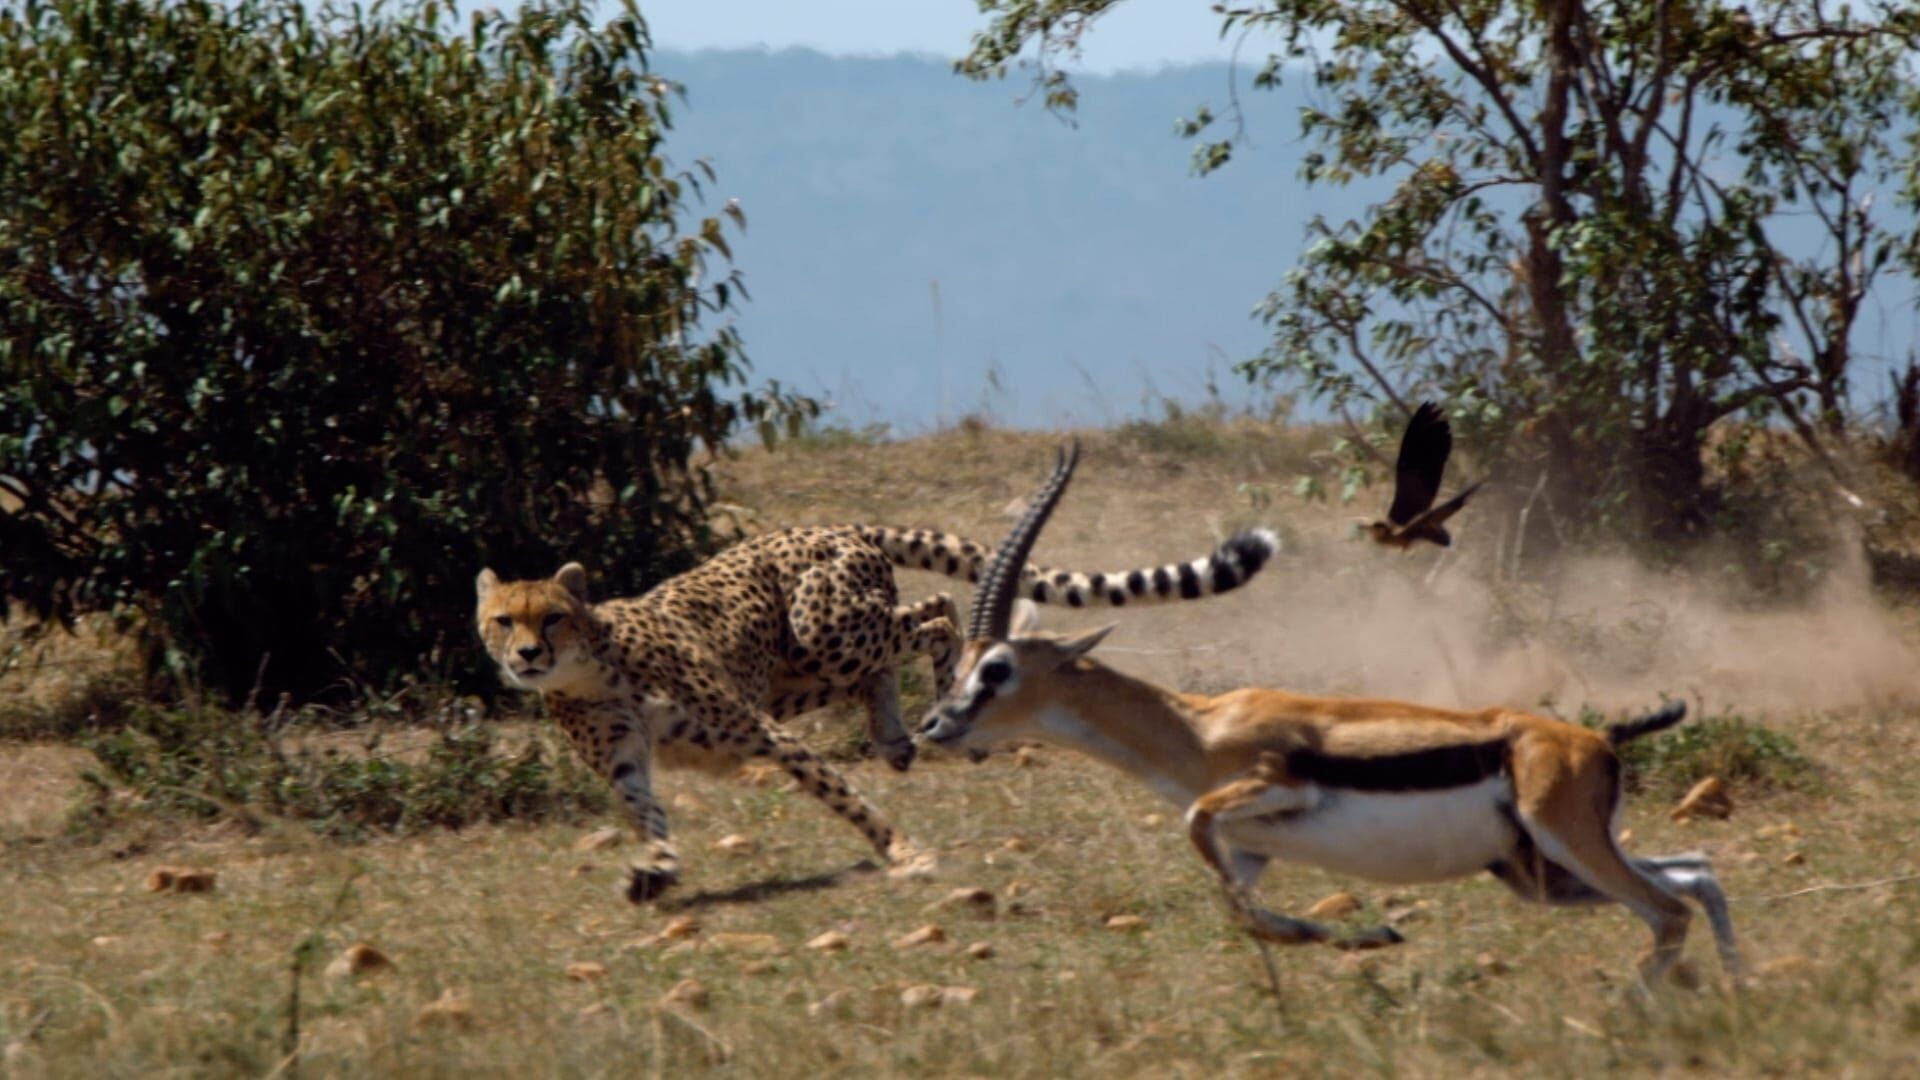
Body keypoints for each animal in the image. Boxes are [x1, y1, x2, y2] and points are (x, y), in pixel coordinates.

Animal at [478, 522, 1274, 899]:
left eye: (551, 618)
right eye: (501, 621)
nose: (526, 657)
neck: (593, 669)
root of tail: (835, 524)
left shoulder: (756, 727)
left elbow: (838, 793)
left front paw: (902, 851)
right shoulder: (629, 761)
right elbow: (648, 814)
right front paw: (657, 872)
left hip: (821, 635)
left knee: (934, 610)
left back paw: (952, 692)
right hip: (796, 670)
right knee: (886, 659)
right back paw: (894, 733)